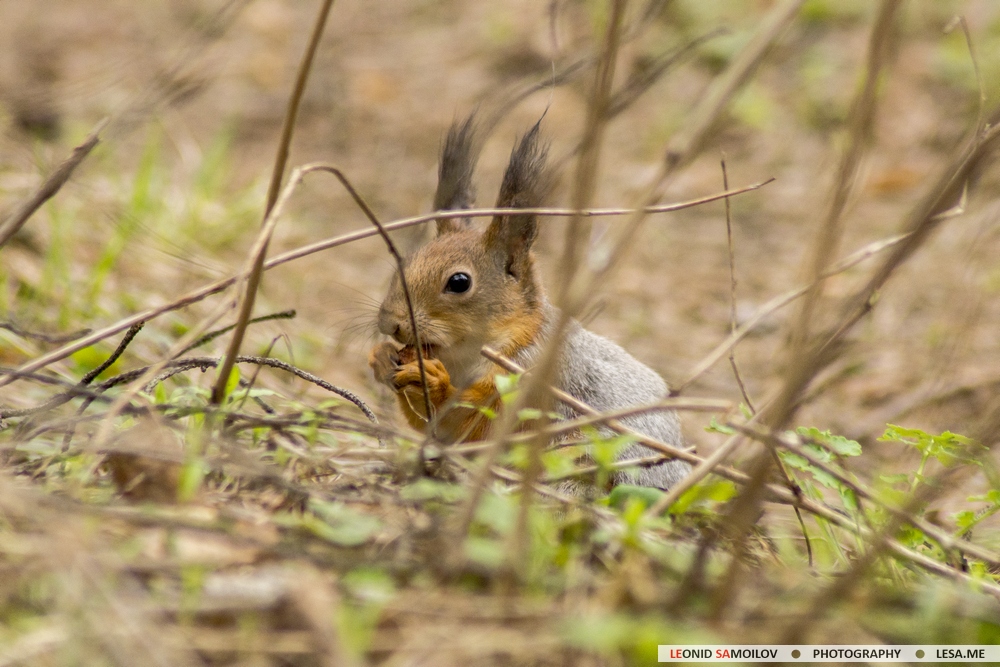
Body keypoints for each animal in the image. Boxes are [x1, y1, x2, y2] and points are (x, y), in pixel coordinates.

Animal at [372, 113, 692, 490]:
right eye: (405, 261)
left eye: (459, 282)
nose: (390, 322)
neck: (464, 356)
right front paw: (380, 357)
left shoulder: (530, 379)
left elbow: (474, 424)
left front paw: (432, 381)